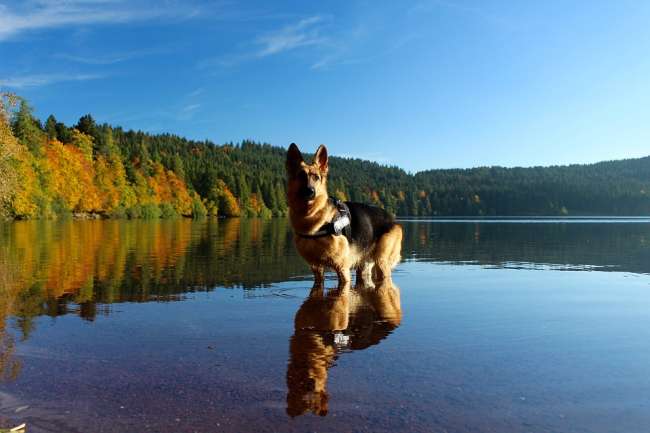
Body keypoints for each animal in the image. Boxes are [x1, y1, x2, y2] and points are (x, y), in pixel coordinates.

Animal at [288, 143, 402, 288]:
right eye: (301, 176)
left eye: (316, 177)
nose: (310, 191)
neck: (311, 217)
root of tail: (392, 218)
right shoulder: (316, 268)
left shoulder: (342, 269)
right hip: (364, 266)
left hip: (382, 262)